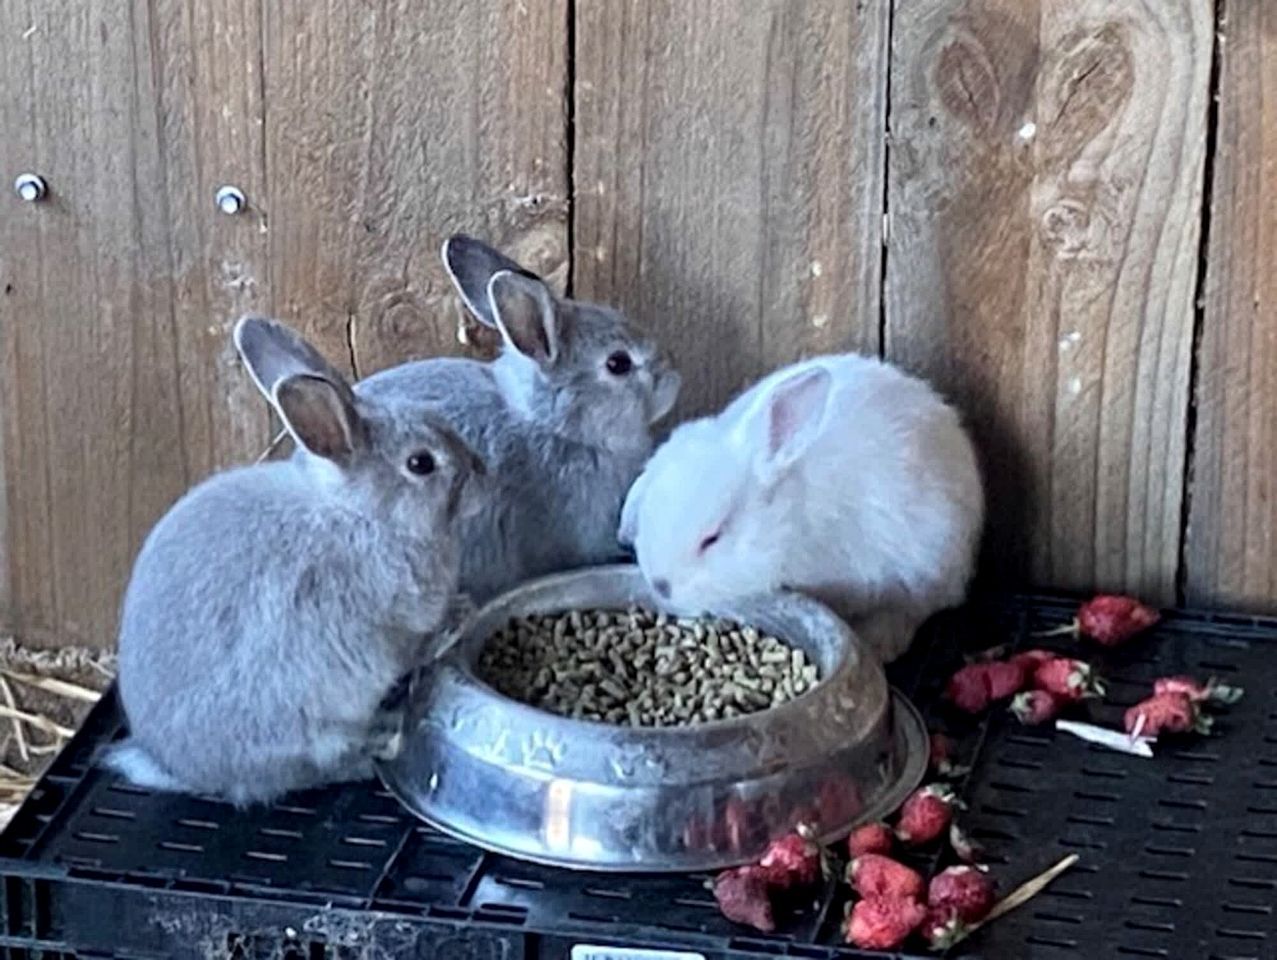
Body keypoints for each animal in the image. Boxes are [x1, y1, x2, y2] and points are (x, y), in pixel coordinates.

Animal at [105, 316, 487, 805]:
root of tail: (186, 771)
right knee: (320, 768)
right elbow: (415, 645)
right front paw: (459, 616)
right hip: (308, 726)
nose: (482, 477)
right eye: (420, 463)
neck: (364, 513)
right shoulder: (389, 625)